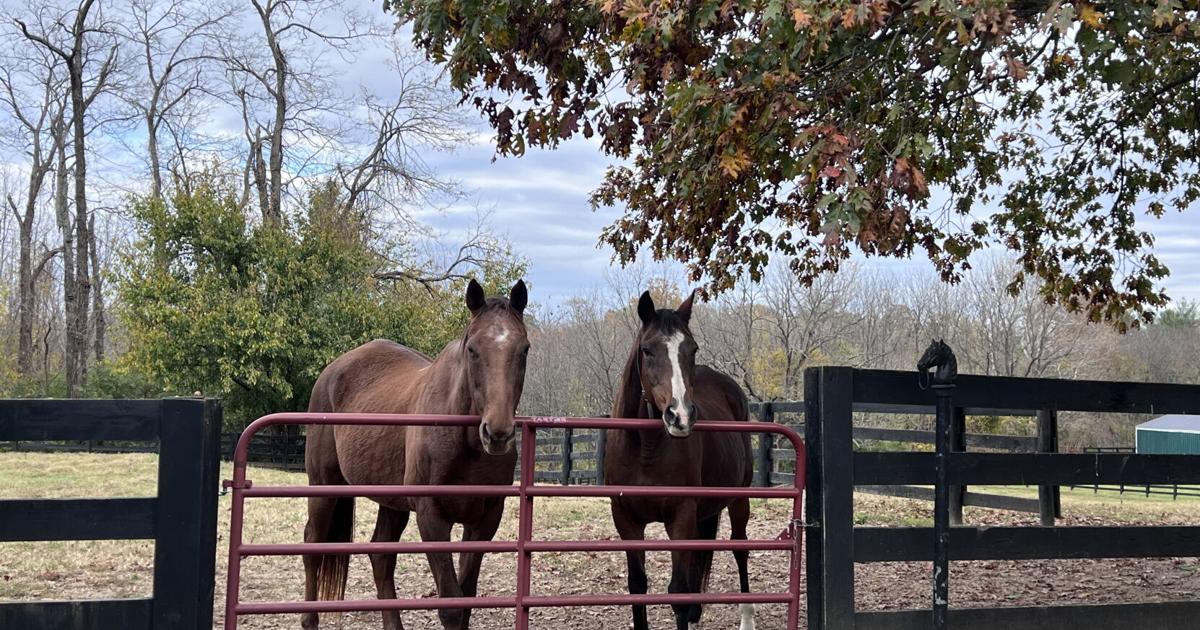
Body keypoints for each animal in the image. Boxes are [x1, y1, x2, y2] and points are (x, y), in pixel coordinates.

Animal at [301, 279, 530, 630]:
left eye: (524, 349)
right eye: (472, 350)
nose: (498, 433)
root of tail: (333, 370)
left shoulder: (485, 519)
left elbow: (466, 600)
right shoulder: (431, 516)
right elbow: (451, 606)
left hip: (391, 501)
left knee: (381, 555)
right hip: (324, 486)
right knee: (313, 543)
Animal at [604, 290, 756, 630]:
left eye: (692, 349)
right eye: (647, 350)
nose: (681, 416)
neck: (645, 449)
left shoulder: (681, 515)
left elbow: (677, 590)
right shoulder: (626, 521)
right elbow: (638, 586)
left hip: (739, 499)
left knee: (740, 548)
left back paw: (747, 619)